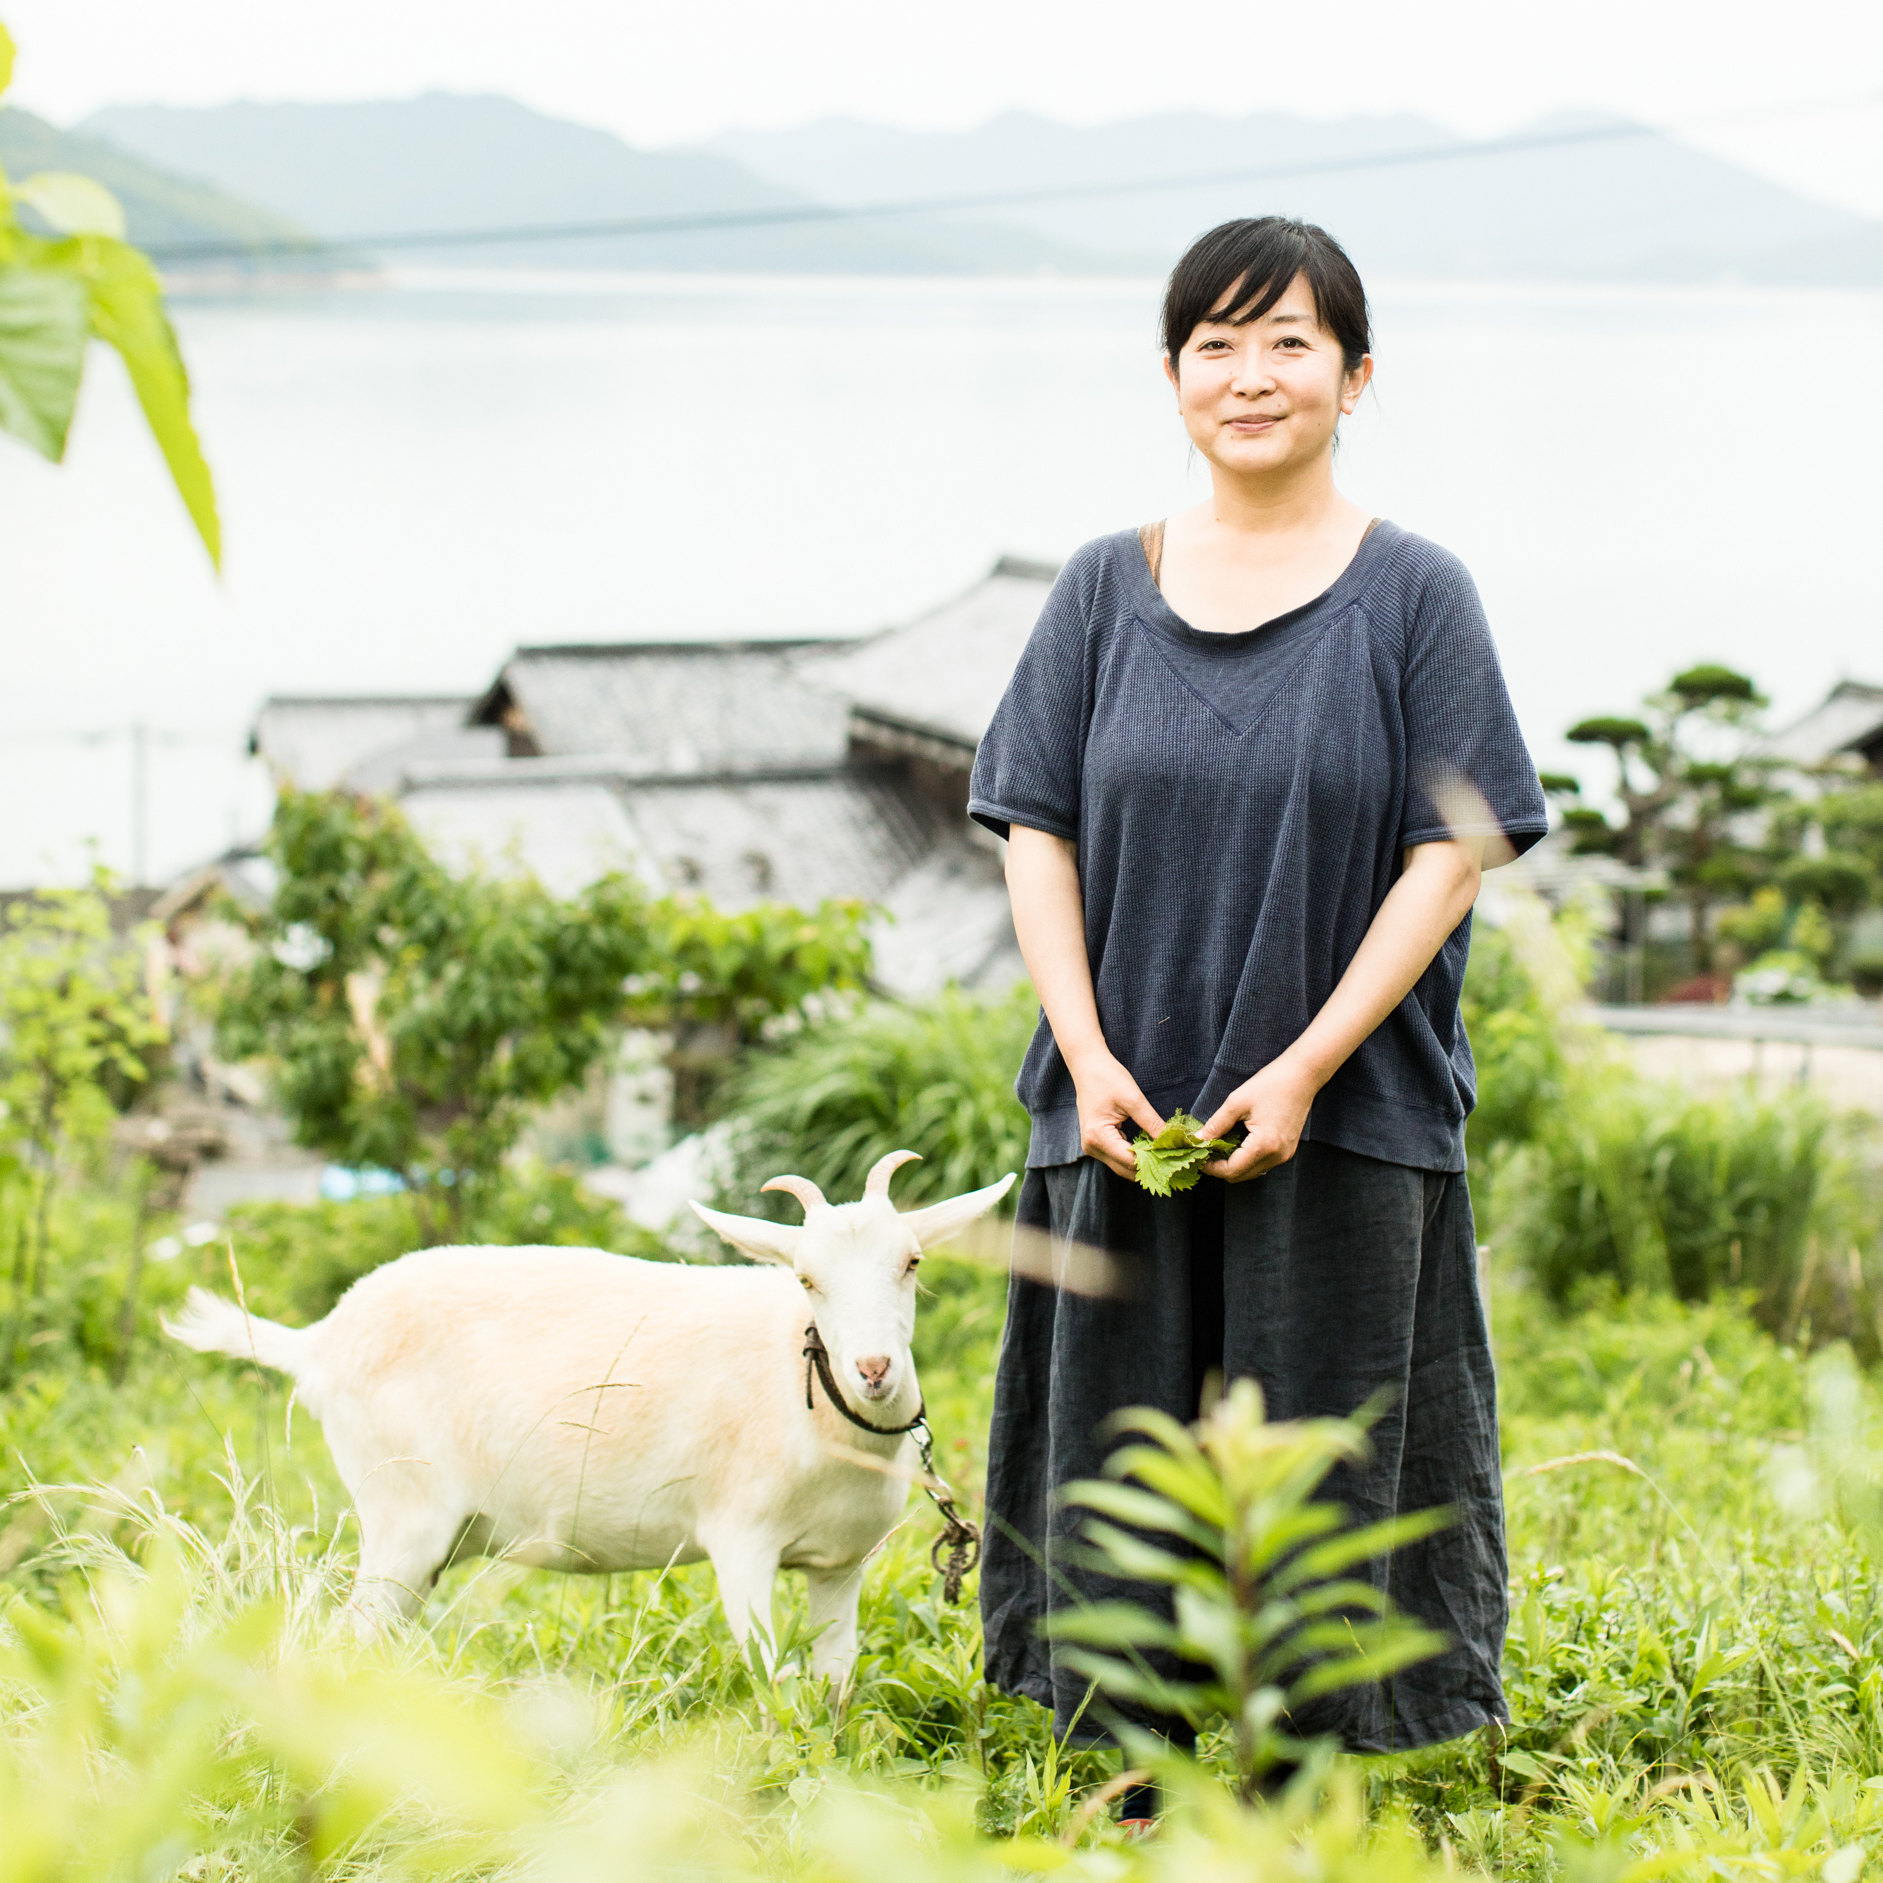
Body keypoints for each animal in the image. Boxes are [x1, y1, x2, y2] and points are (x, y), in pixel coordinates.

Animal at [163, 1152, 1016, 1687]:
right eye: (806, 1278)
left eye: (911, 1261)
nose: (872, 1368)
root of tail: (317, 1339)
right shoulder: (741, 1538)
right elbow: (774, 1680)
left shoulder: (841, 1562)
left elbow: (833, 1682)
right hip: (401, 1507)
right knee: (339, 1637)